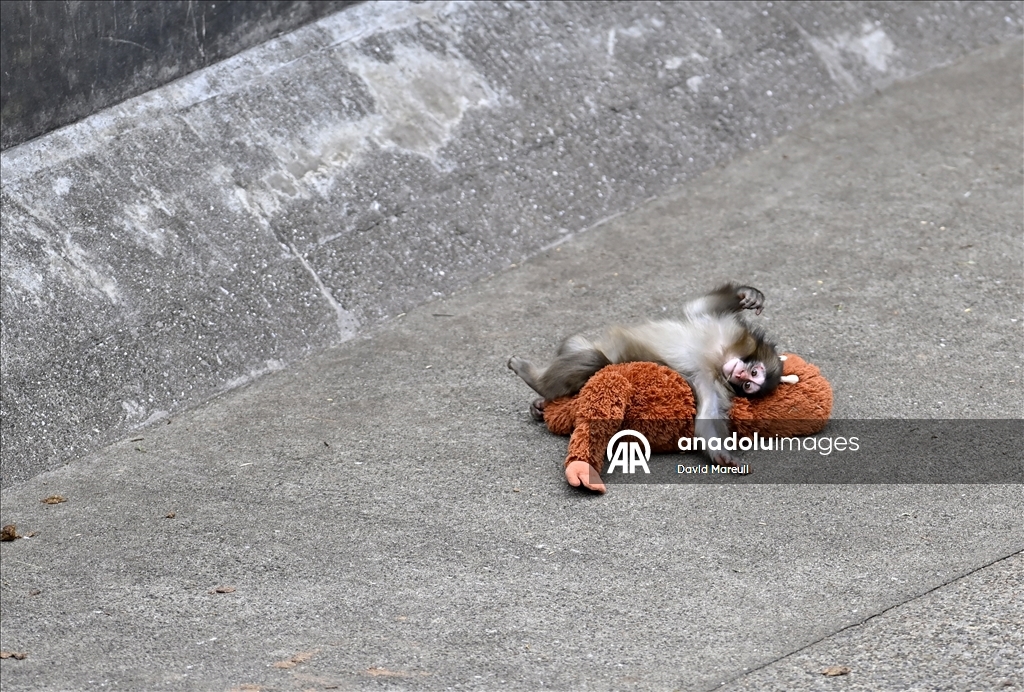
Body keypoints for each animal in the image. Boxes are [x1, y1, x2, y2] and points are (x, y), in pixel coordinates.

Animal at [508, 283, 782, 472]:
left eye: (748, 384)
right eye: (753, 373)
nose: (739, 373)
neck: (719, 358)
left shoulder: (711, 382)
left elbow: (706, 417)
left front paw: (722, 455)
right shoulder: (726, 330)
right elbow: (699, 307)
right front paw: (747, 295)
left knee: (595, 361)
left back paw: (540, 392)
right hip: (576, 343)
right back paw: (536, 383)